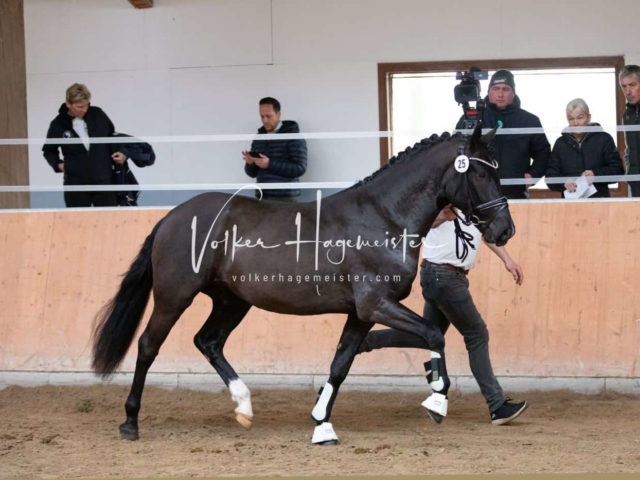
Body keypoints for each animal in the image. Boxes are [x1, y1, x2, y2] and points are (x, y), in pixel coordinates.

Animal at [90, 123, 516, 442]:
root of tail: (171, 217)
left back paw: (244, 406)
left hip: (232, 301)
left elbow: (340, 364)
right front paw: (436, 404)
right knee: (148, 346)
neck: (383, 217)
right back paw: (130, 423)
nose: (504, 230)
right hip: (174, 296)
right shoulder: (376, 304)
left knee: (207, 341)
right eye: (481, 172)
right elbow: (433, 333)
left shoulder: (361, 314)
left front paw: (322, 422)